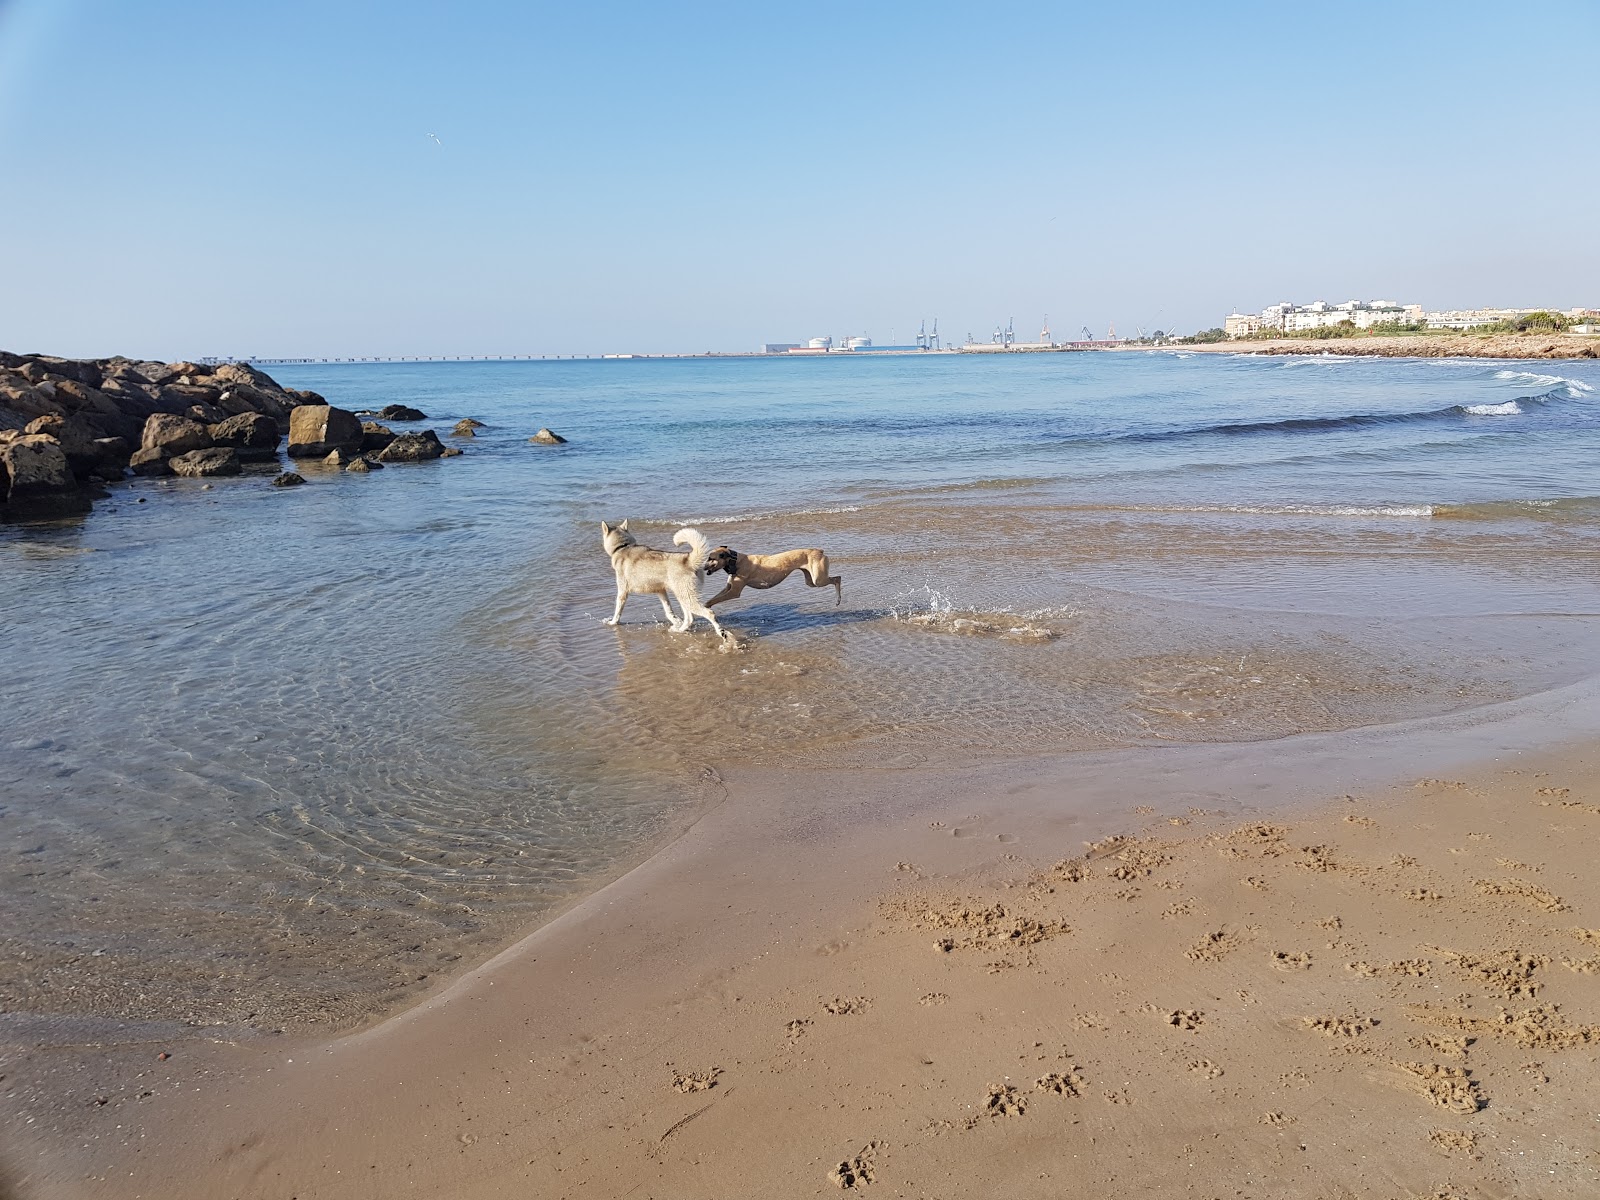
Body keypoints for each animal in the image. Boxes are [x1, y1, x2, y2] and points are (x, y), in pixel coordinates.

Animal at [707, 547, 844, 611]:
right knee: (836, 578)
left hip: (818, 580)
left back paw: (838, 600)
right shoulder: (728, 588)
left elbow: (715, 600)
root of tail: (819, 551)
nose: (703, 567)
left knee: (837, 578)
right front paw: (705, 607)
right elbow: (712, 599)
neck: (735, 561)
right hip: (810, 581)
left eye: (710, 558)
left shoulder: (734, 592)